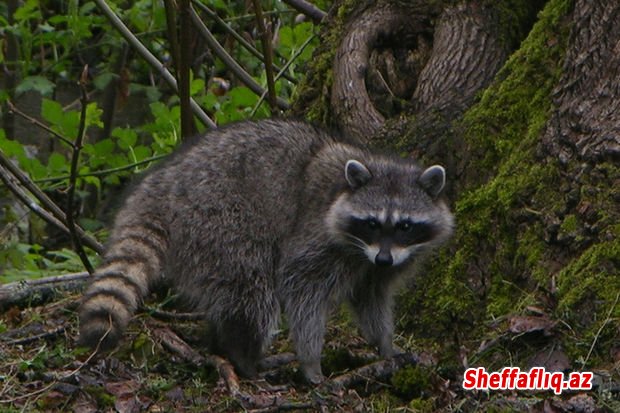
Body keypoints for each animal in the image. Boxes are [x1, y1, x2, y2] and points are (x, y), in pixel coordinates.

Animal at [78, 119, 456, 384]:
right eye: (373, 223)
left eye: (405, 226)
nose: (384, 258)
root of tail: (160, 184)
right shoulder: (316, 234)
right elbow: (300, 288)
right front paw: (311, 359)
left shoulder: (382, 262)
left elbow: (371, 298)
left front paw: (385, 345)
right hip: (219, 218)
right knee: (251, 289)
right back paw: (245, 356)